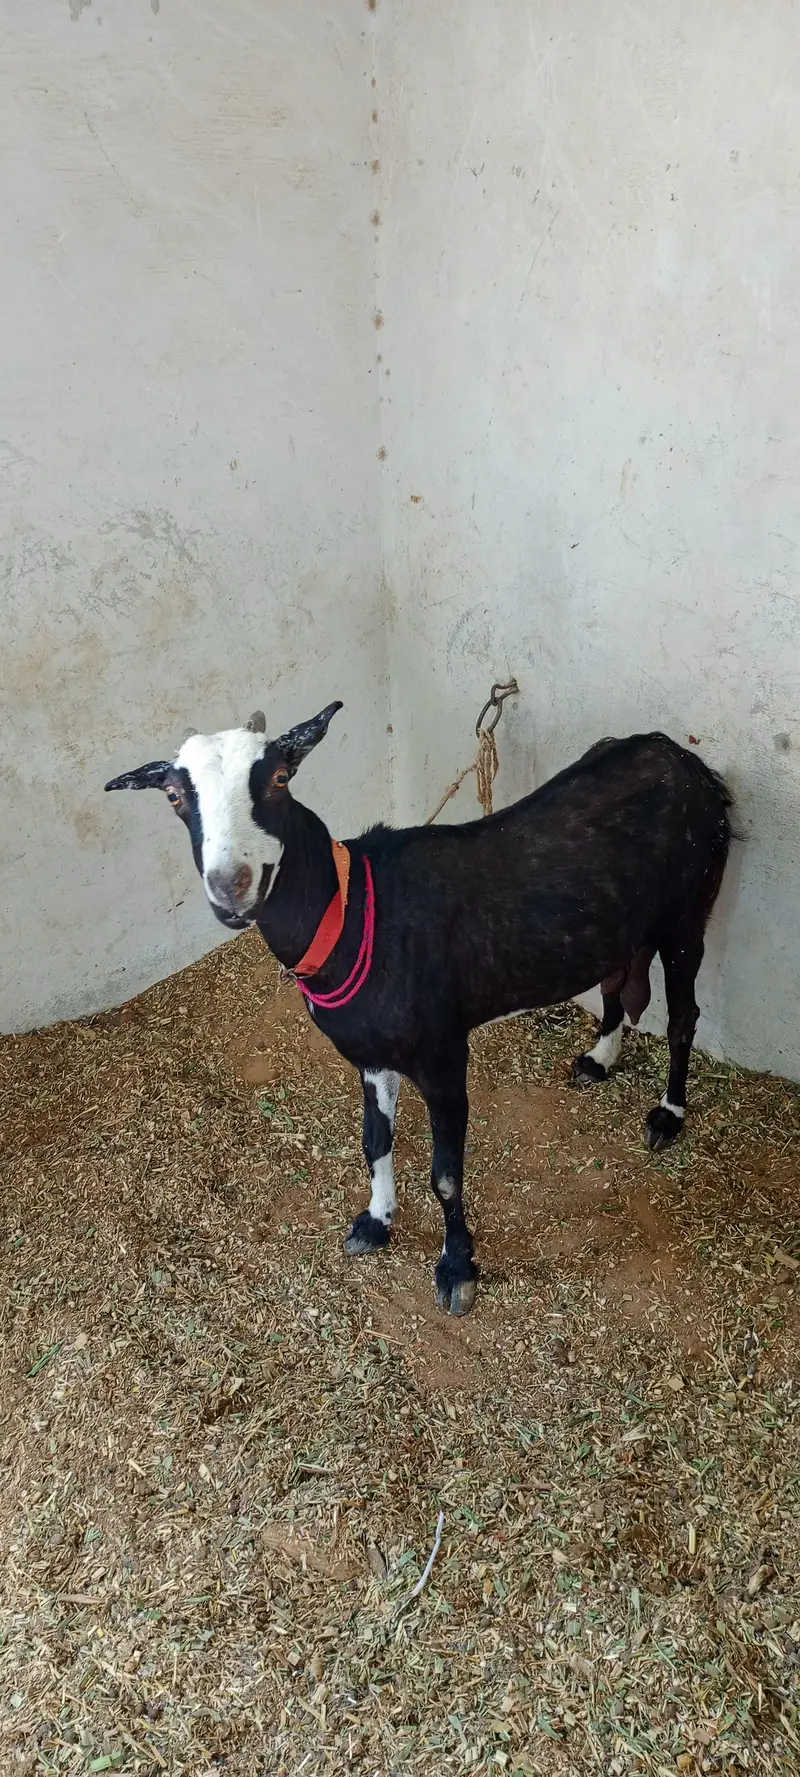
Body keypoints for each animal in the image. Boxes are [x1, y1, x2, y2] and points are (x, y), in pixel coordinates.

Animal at [106, 707, 732, 1317]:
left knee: (683, 1016)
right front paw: (376, 1222)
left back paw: (668, 1114)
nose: (231, 886)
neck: (355, 913)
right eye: (173, 795)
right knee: (617, 980)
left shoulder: (442, 1054)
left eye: (280, 777)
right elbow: (375, 1141)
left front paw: (457, 1270)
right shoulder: (369, 1054)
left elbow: (447, 1177)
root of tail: (681, 758)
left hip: (688, 910)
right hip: (620, 921)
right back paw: (600, 1057)